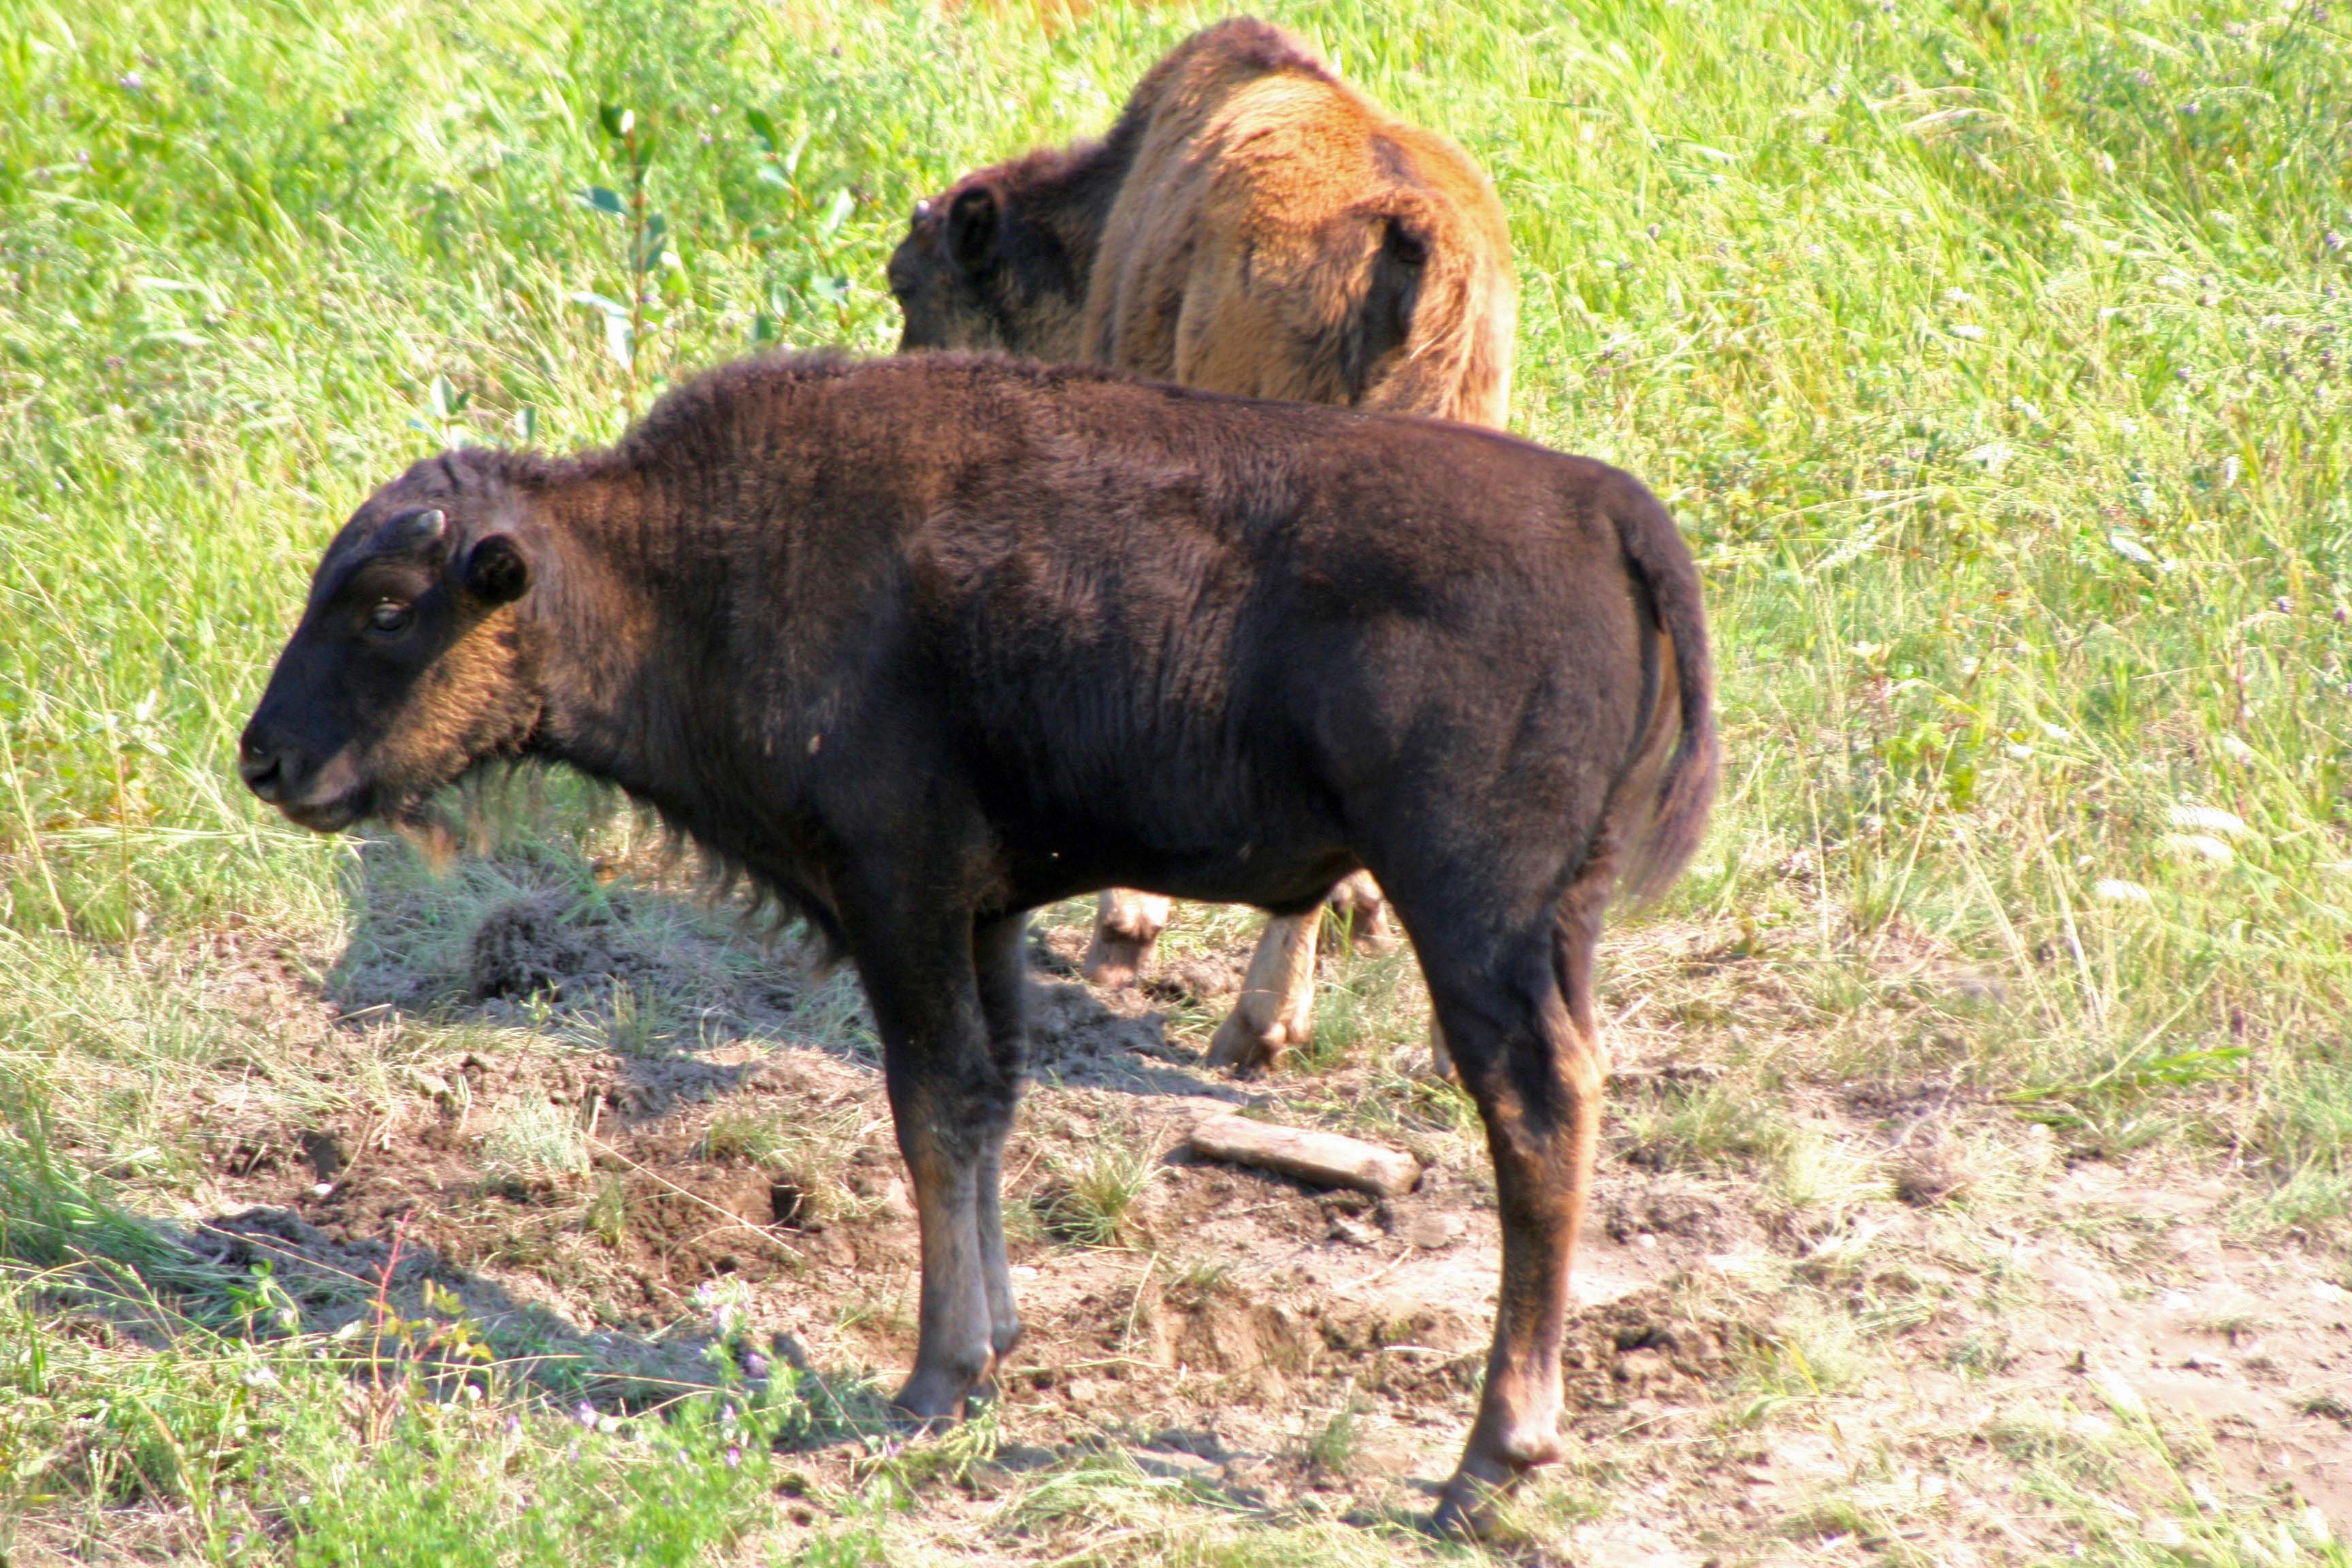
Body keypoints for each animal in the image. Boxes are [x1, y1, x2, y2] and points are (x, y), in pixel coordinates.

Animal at [238, 351, 1715, 1534]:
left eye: (388, 606)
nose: (266, 759)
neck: (679, 562)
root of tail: (1606, 510)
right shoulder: (989, 913)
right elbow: (990, 1104)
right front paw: (994, 1344)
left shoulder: (900, 895)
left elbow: (932, 1106)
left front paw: (931, 1380)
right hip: (1548, 922)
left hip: (1473, 913)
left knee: (1534, 1118)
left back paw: (1486, 1465)